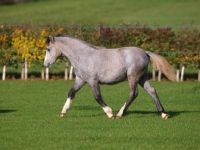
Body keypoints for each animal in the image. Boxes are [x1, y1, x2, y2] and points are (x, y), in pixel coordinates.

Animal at [43, 34, 175, 119]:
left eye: (48, 49)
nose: (45, 64)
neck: (83, 56)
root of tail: (145, 53)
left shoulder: (93, 81)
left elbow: (97, 97)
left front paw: (110, 113)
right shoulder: (81, 80)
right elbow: (71, 92)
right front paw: (63, 112)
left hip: (133, 77)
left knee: (134, 93)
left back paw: (119, 114)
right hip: (142, 78)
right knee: (152, 91)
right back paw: (163, 114)